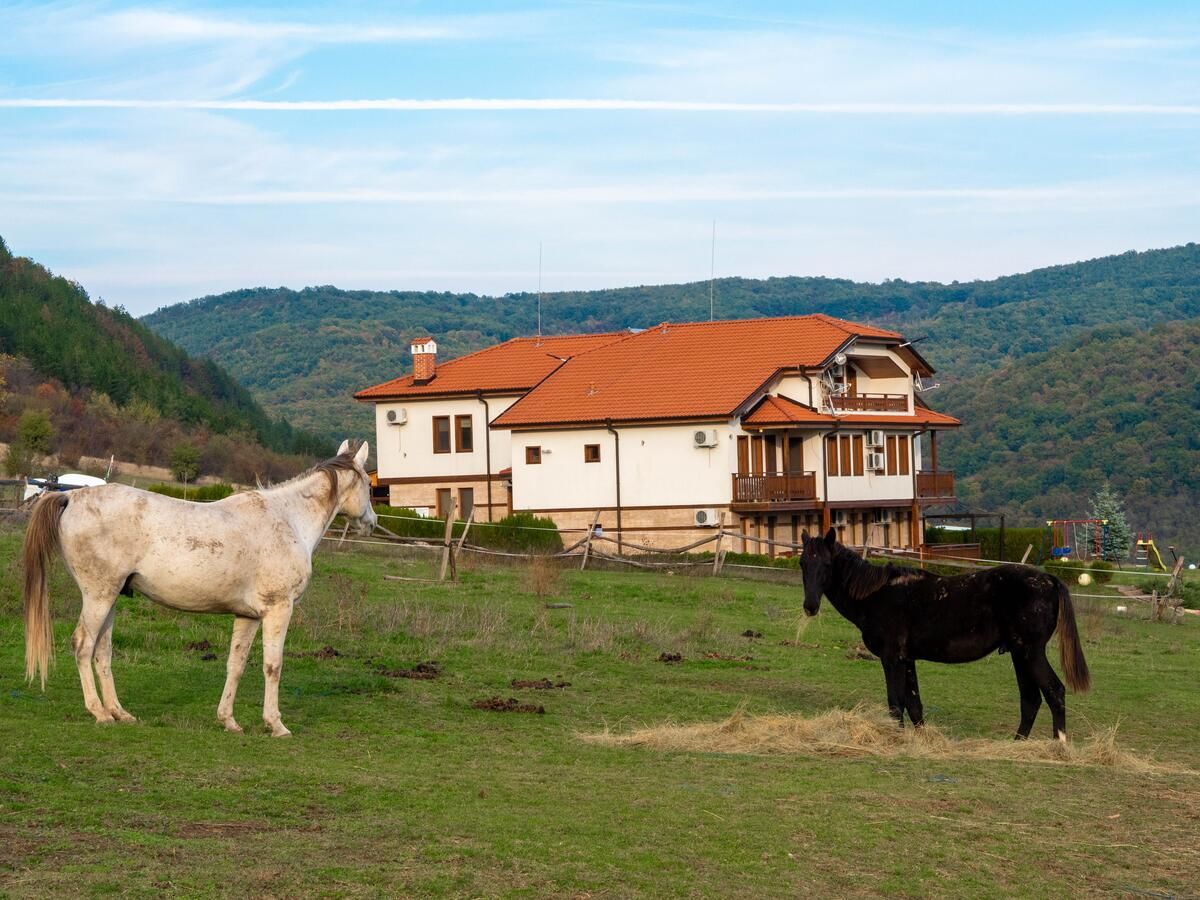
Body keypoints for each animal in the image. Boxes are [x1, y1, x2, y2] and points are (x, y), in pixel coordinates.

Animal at [24, 439, 379, 739]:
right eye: (367, 483)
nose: (372, 522)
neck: (288, 519)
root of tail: (71, 496)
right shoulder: (279, 609)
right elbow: (273, 666)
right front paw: (276, 725)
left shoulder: (248, 616)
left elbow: (236, 665)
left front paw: (229, 721)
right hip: (98, 596)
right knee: (83, 645)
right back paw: (98, 713)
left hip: (110, 598)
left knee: (102, 652)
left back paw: (119, 713)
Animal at [801, 525, 1094, 744]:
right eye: (803, 563)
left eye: (826, 564)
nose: (810, 606)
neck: (878, 594)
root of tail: (1050, 581)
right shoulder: (907, 660)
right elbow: (914, 704)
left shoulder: (892, 659)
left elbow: (896, 702)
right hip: (1020, 655)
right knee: (1031, 699)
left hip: (1030, 653)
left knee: (1054, 691)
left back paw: (1059, 746)